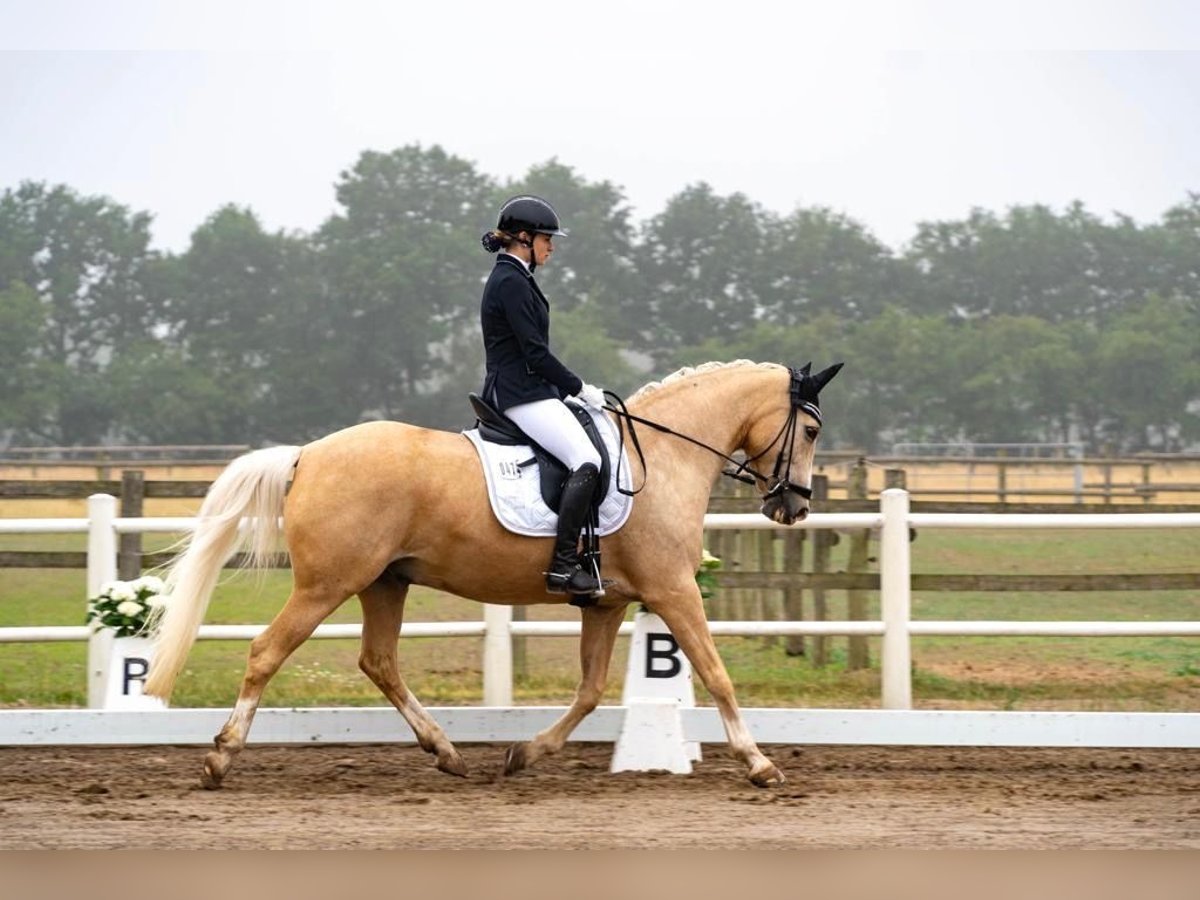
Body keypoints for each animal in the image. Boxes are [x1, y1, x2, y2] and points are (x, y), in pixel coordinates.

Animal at [145, 360, 844, 787]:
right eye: (810, 429)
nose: (794, 507)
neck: (664, 457)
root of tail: (307, 455)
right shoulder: (673, 591)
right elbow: (717, 674)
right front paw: (760, 764)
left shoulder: (607, 603)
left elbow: (590, 691)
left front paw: (525, 753)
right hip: (327, 584)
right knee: (267, 651)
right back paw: (221, 757)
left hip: (385, 582)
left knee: (379, 661)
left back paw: (447, 752)